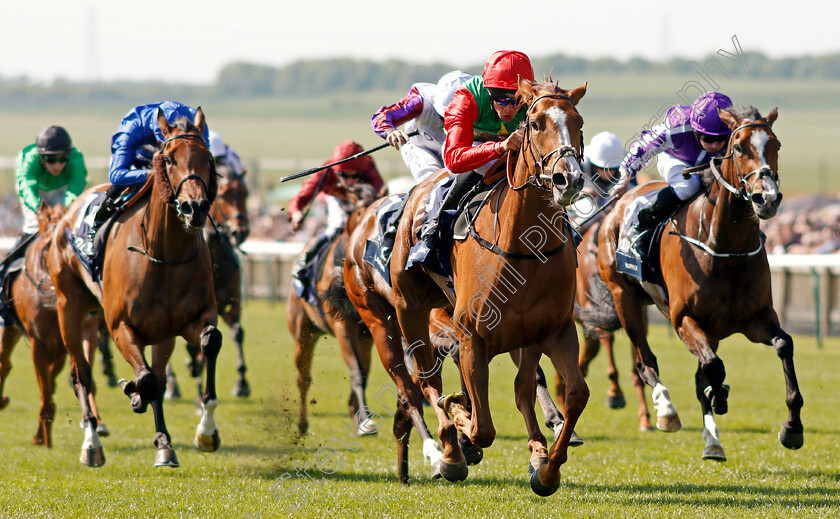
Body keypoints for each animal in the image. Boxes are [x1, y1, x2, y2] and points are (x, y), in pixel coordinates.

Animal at [0, 205, 109, 448]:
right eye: (46, 250)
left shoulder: (81, 332)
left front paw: (96, 422)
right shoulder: (39, 344)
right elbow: (46, 392)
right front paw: (44, 439)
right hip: (8, 328)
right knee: (4, 364)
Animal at [47, 108, 221, 468]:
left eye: (208, 157)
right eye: (168, 158)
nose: (194, 207)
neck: (164, 255)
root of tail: (68, 212)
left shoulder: (191, 319)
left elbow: (209, 343)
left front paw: (206, 432)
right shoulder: (119, 326)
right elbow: (147, 380)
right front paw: (134, 393)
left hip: (162, 333)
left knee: (158, 374)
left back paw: (164, 444)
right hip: (69, 306)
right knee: (82, 375)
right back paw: (92, 444)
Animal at [344, 78, 588, 496]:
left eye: (579, 122)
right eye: (536, 123)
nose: (567, 179)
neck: (523, 247)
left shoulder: (551, 330)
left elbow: (567, 394)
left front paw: (546, 468)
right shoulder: (472, 335)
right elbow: (481, 425)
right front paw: (459, 424)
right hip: (394, 317)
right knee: (418, 383)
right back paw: (445, 451)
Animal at [596, 104, 800, 460]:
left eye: (776, 145)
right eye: (739, 147)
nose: (767, 199)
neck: (725, 248)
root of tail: (621, 203)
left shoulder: (756, 319)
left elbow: (783, 345)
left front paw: (792, 427)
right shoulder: (683, 319)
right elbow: (714, 369)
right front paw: (719, 396)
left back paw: (713, 442)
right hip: (625, 298)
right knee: (646, 363)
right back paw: (666, 411)